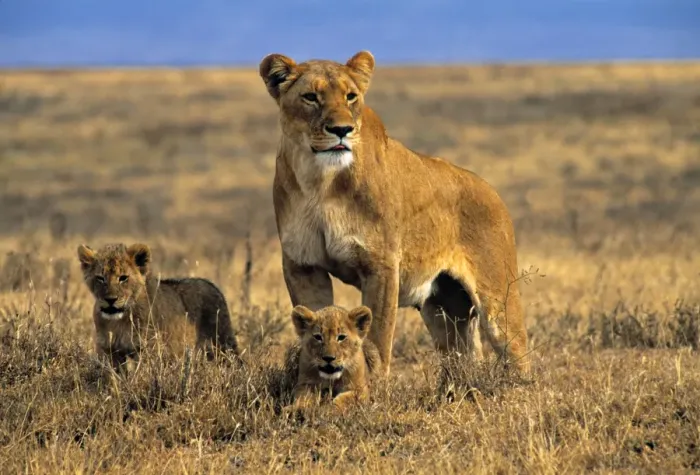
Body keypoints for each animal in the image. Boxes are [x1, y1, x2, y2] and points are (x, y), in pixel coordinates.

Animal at [77, 243, 240, 371]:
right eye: (100, 278)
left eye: (123, 278)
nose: (110, 300)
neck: (118, 321)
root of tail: (212, 285)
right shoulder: (108, 350)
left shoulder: (148, 349)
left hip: (223, 343)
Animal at [259, 50, 529, 376]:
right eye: (310, 97)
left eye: (351, 97)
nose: (342, 130)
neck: (321, 183)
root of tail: (491, 190)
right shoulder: (303, 265)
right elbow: (313, 321)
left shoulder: (382, 265)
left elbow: (376, 339)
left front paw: (371, 385)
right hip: (443, 309)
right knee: (462, 357)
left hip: (497, 300)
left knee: (518, 354)